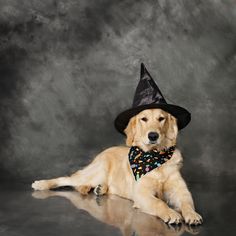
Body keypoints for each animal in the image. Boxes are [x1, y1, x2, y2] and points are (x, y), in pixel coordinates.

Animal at [32, 108, 203, 225]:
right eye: (144, 119)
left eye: (161, 119)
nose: (153, 135)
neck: (155, 157)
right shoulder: (141, 194)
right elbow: (159, 202)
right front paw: (171, 213)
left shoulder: (181, 191)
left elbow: (187, 202)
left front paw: (192, 214)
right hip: (96, 172)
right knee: (67, 179)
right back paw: (41, 184)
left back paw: (99, 189)